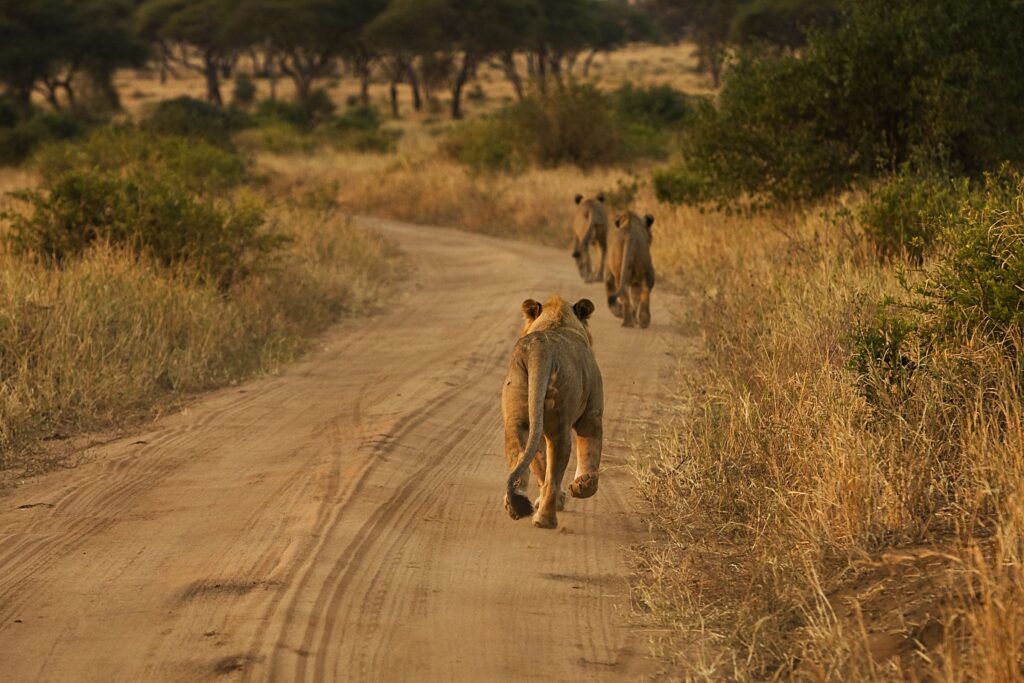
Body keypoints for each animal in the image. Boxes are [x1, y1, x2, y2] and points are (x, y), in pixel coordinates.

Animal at [501, 294, 602, 528]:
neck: (557, 321)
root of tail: (541, 349)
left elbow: (539, 464)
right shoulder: (592, 414)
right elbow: (590, 452)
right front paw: (583, 486)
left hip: (518, 414)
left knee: (521, 453)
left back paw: (517, 506)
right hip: (559, 424)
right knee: (554, 470)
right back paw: (546, 518)